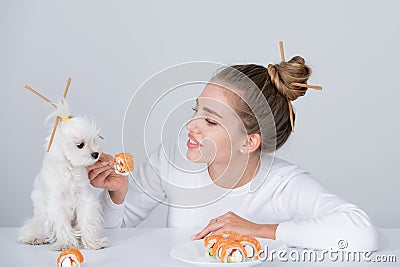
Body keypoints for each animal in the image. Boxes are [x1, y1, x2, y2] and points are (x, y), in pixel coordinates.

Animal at [18, 101, 108, 251]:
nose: (96, 154)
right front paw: (66, 244)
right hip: (41, 219)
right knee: (35, 228)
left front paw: (92, 242)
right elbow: (62, 225)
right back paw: (35, 238)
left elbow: (87, 221)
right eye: (80, 145)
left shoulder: (84, 199)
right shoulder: (57, 203)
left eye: (94, 140)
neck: (69, 168)